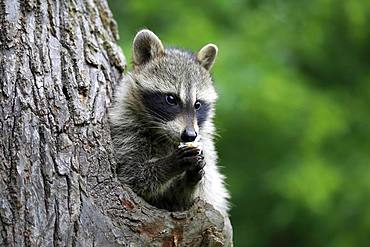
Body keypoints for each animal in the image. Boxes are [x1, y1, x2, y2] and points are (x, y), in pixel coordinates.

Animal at [110, 29, 230, 216]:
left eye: (197, 104)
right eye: (171, 99)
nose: (190, 135)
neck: (164, 134)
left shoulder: (205, 143)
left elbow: (186, 199)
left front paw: (192, 178)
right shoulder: (126, 130)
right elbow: (134, 175)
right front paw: (169, 164)